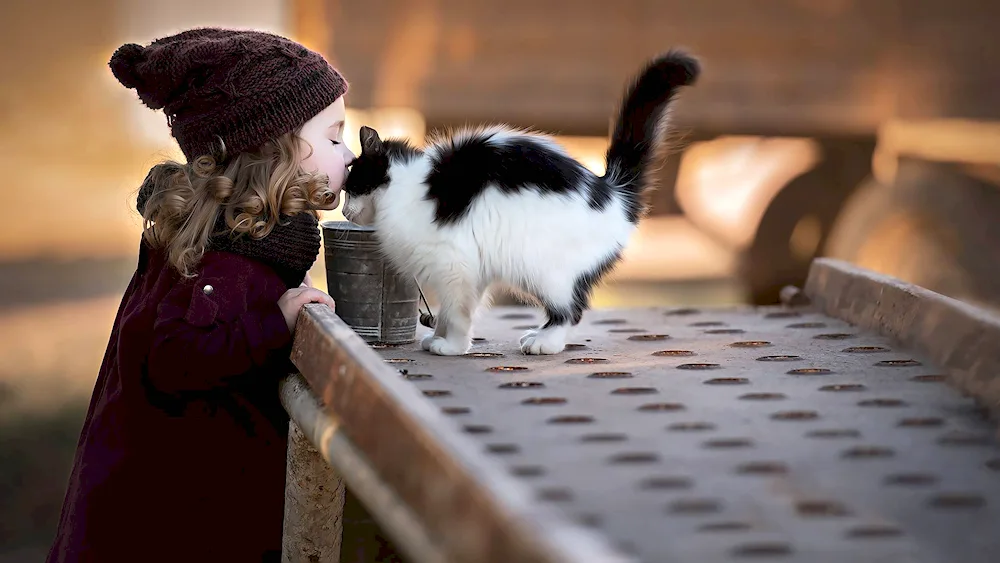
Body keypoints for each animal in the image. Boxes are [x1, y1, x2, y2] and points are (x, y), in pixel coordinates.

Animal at [344, 50, 704, 354]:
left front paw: (452, 346)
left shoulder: (454, 265)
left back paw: (544, 342)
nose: (344, 211)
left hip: (544, 270)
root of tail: (612, 191)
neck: (404, 186)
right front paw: (440, 337)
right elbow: (454, 310)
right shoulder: (473, 269)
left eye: (351, 187)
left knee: (571, 310)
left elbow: (457, 311)